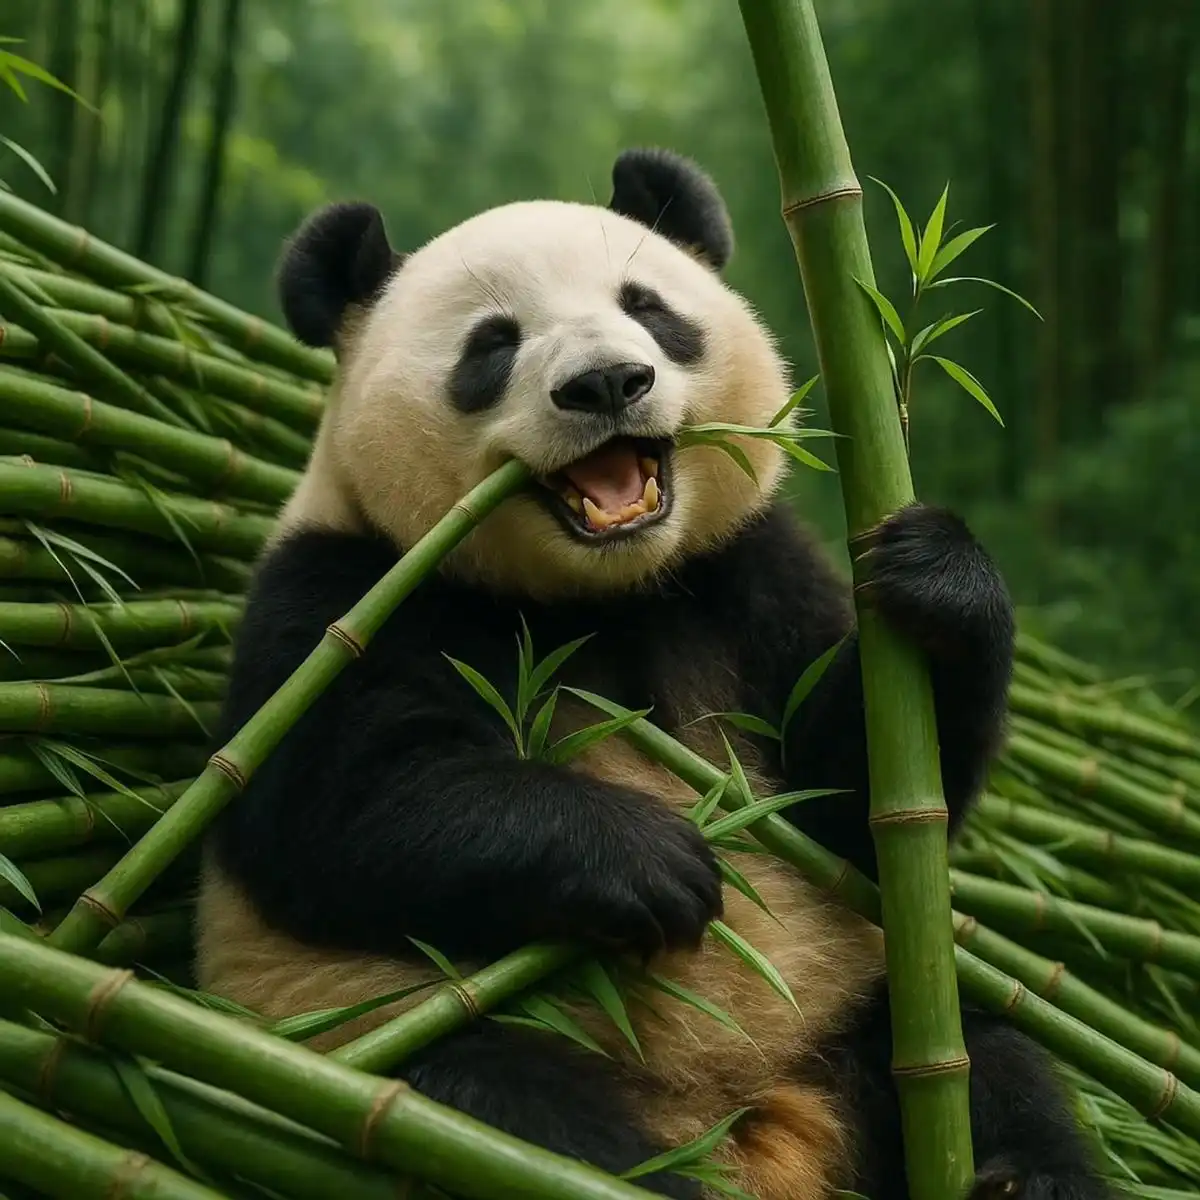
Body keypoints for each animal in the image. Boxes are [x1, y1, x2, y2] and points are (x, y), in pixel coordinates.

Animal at [195, 148, 1111, 1200]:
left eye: (648, 307)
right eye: (492, 344)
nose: (607, 382)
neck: (606, 592)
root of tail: (762, 1128)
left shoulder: (749, 571)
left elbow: (857, 807)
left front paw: (940, 582)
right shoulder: (345, 595)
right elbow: (330, 809)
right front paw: (651, 858)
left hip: (867, 1006)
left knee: (986, 1053)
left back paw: (1030, 1175)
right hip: (384, 1041)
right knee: (501, 1105)